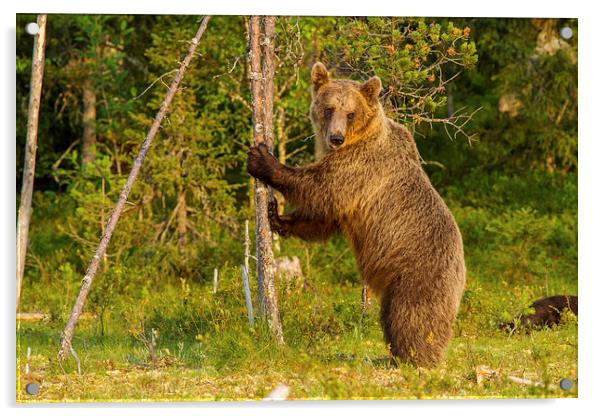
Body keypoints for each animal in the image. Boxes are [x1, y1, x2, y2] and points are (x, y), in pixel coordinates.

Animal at [246, 61, 466, 368]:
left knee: (412, 315)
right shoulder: (348, 197)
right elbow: (322, 217)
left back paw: (415, 357)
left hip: (419, 272)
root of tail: (463, 271)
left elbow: (320, 187)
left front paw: (262, 160)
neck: (357, 138)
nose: (335, 138)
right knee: (390, 314)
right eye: (329, 108)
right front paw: (276, 216)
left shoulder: (360, 168)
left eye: (350, 113)